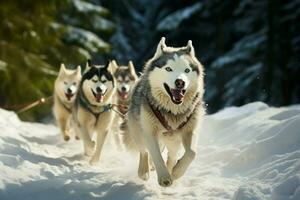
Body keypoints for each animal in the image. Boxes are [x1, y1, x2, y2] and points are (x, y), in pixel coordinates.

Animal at [123, 38, 205, 188]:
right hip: (138, 132)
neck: (172, 111)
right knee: (144, 151)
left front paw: (176, 172)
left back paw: (172, 169)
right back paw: (144, 171)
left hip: (173, 140)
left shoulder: (190, 131)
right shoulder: (149, 132)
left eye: (187, 70)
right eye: (168, 69)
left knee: (172, 155)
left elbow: (192, 153)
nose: (180, 82)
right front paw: (164, 177)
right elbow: (155, 155)